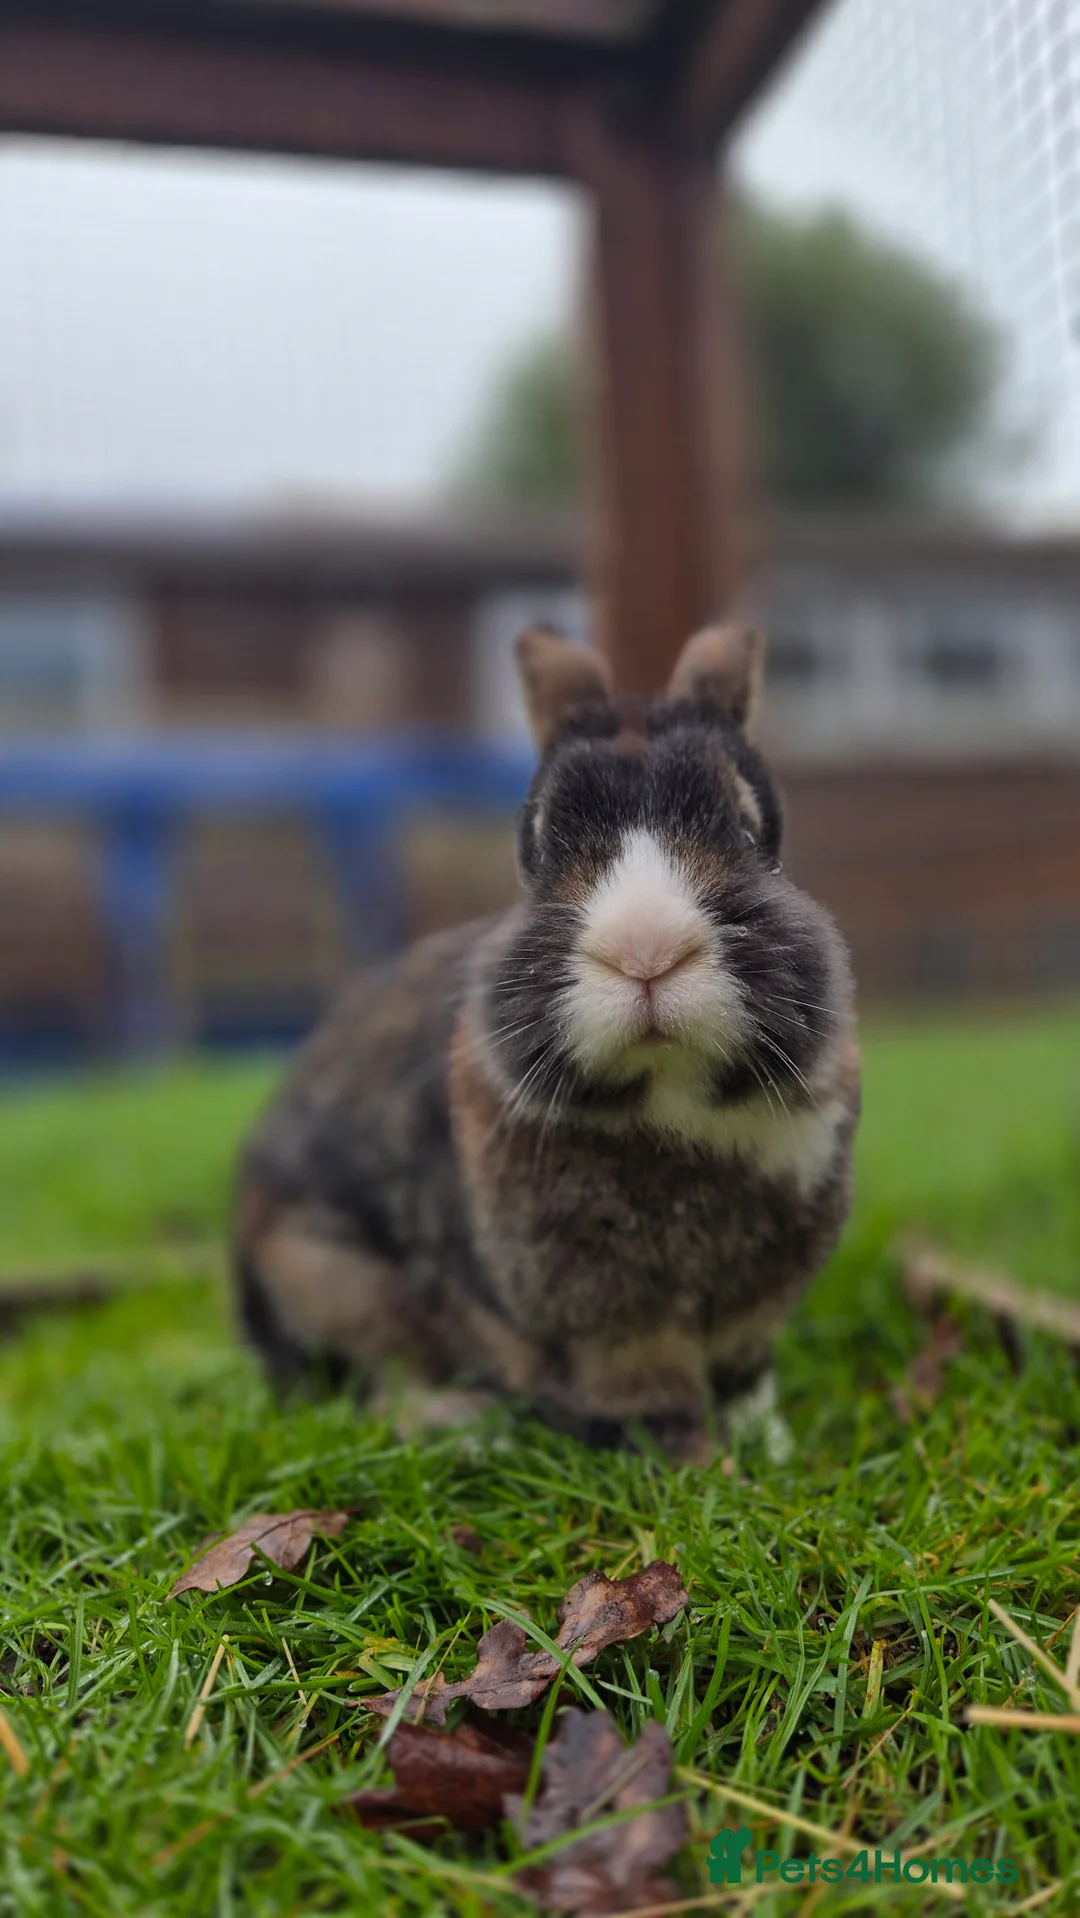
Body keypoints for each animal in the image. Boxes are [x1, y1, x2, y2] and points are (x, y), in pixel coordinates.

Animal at [233, 623, 860, 1460]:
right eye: (536, 845)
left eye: (751, 829)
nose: (646, 951)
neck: (669, 1098)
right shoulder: (605, 1320)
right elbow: (645, 1385)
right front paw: (696, 1462)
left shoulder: (752, 1309)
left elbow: (744, 1377)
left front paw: (770, 1447)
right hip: (332, 1280)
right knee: (377, 1378)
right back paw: (465, 1427)